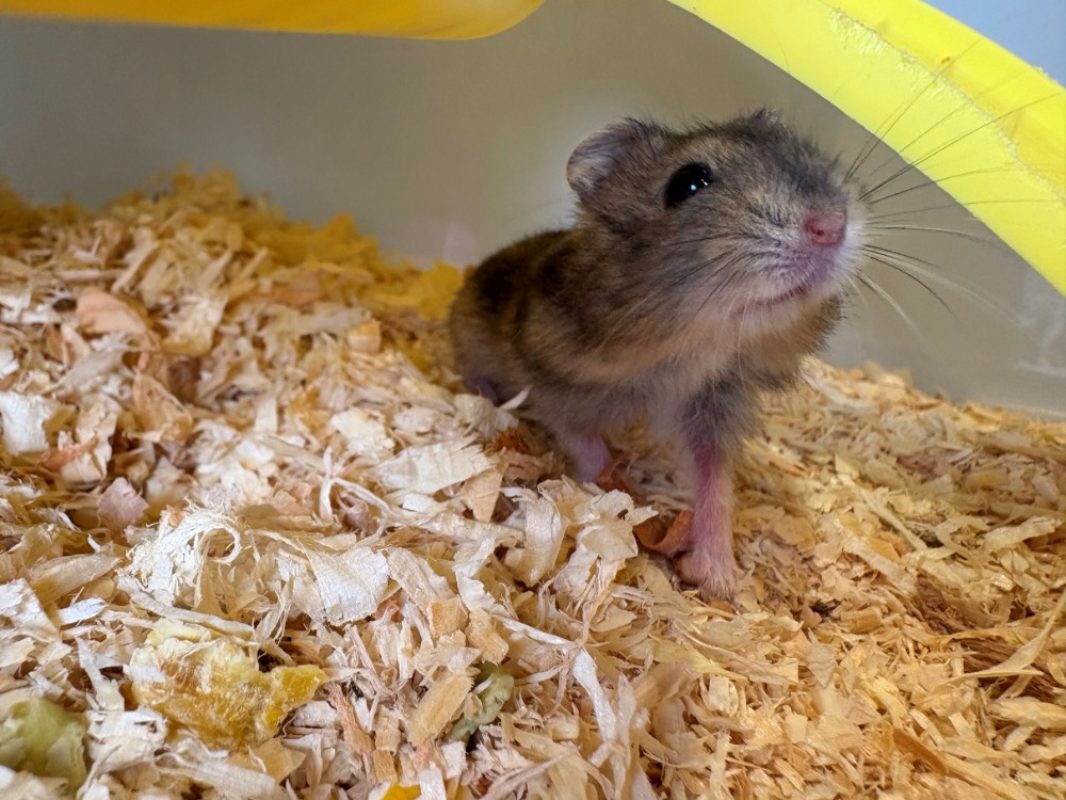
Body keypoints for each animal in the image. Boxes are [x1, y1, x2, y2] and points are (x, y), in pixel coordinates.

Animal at [448, 110, 864, 599]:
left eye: (802, 149)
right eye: (687, 183)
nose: (831, 225)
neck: (697, 346)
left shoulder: (715, 406)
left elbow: (715, 486)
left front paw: (722, 582)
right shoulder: (552, 378)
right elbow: (586, 445)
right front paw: (626, 499)